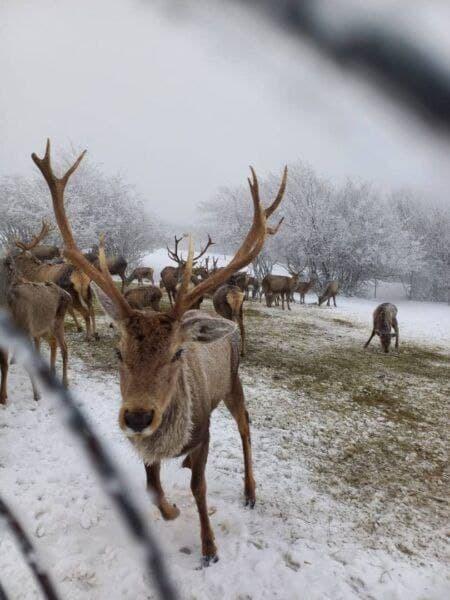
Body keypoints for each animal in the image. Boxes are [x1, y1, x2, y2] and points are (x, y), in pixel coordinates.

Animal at [0, 252, 71, 404]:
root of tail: (68, 295)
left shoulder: (25, 331)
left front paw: (37, 394)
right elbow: (4, 364)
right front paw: (3, 397)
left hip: (57, 322)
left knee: (65, 347)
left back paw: (64, 382)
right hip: (43, 327)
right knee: (53, 342)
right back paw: (52, 373)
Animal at [32, 141, 284, 568]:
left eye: (177, 352)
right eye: (118, 351)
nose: (137, 416)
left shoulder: (203, 431)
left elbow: (199, 488)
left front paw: (209, 547)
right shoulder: (145, 446)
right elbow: (152, 487)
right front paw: (171, 510)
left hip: (233, 381)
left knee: (246, 426)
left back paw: (250, 491)